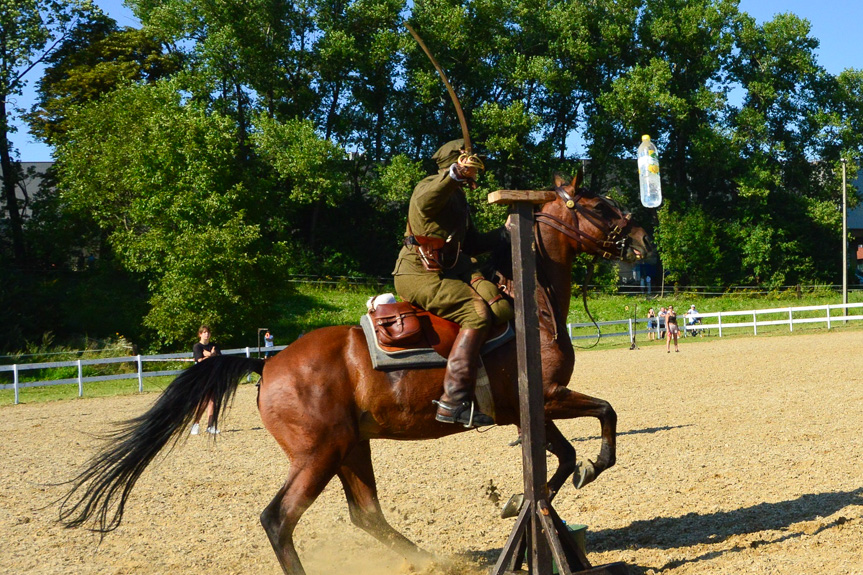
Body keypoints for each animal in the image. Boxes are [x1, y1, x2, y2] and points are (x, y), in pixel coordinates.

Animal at [59, 173, 656, 572]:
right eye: (599, 205)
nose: (643, 241)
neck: (532, 302)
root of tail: (269, 362)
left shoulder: (524, 410)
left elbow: (563, 458)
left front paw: (519, 499)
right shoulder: (547, 395)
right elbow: (604, 417)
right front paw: (590, 468)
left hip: (351, 446)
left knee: (367, 515)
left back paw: (432, 560)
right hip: (320, 453)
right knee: (279, 519)